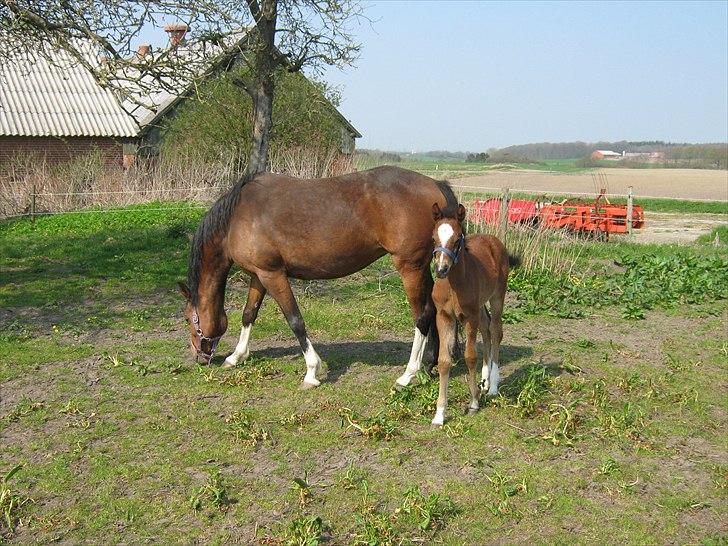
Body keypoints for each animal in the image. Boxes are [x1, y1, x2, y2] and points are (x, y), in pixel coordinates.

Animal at [432, 202, 516, 422]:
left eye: (457, 239)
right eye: (433, 238)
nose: (441, 269)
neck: (453, 285)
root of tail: (493, 240)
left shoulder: (469, 317)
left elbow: (470, 356)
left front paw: (473, 403)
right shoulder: (443, 316)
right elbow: (444, 360)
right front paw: (439, 414)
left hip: (497, 296)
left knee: (495, 331)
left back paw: (493, 385)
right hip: (479, 306)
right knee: (486, 329)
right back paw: (485, 379)